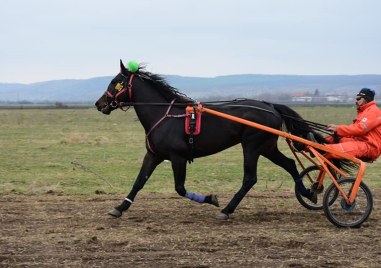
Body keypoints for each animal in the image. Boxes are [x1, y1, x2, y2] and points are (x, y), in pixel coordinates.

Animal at [95, 60, 324, 220]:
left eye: (115, 82)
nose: (99, 103)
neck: (165, 116)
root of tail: (270, 106)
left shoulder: (177, 157)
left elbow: (180, 188)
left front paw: (210, 199)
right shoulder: (153, 155)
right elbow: (139, 182)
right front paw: (119, 208)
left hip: (252, 146)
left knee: (250, 178)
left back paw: (226, 210)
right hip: (267, 147)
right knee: (290, 164)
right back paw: (309, 192)